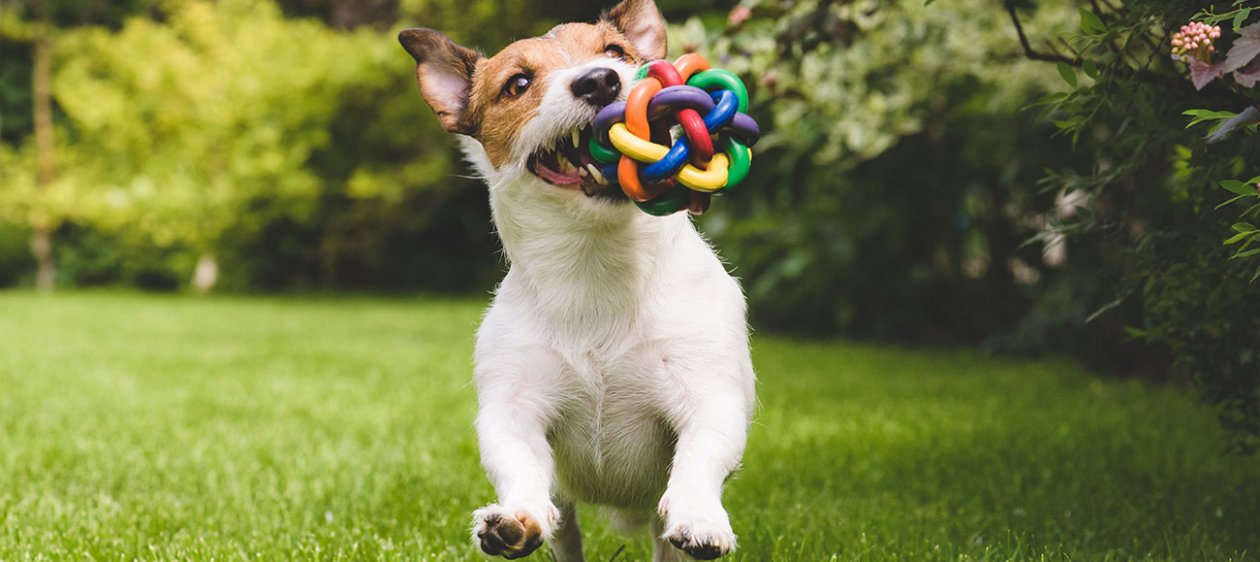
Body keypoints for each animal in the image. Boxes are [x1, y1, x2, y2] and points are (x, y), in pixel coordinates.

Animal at [400, 2, 756, 559]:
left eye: (616, 53)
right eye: (518, 84)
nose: (599, 80)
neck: (596, 263)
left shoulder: (708, 393)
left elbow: (701, 456)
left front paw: (700, 515)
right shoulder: (514, 408)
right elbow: (517, 462)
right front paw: (515, 518)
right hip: (566, 508)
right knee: (564, 530)